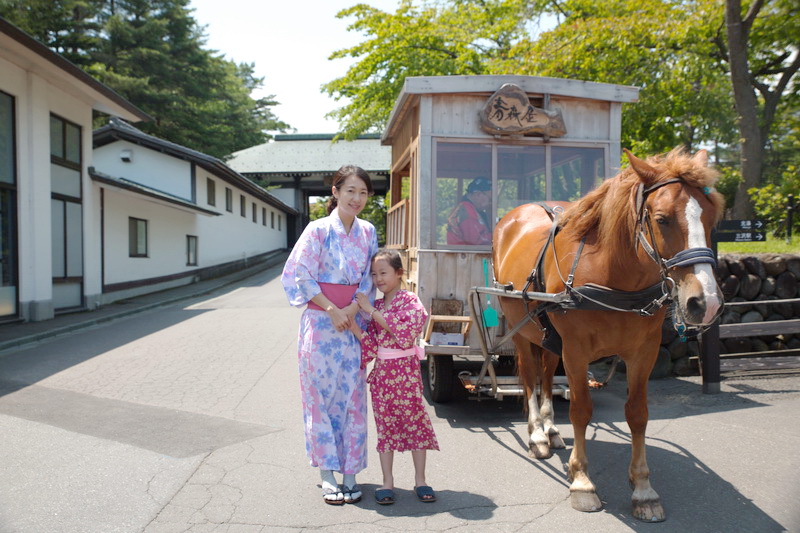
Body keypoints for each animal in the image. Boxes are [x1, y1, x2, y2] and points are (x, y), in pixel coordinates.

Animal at [494, 148, 724, 520]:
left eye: (711, 219)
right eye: (662, 219)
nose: (707, 302)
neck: (614, 276)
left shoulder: (644, 352)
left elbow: (638, 413)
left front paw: (643, 488)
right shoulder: (576, 351)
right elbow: (581, 410)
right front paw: (582, 480)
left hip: (549, 337)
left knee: (546, 375)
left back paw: (550, 429)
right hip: (522, 331)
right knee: (530, 378)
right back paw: (537, 435)